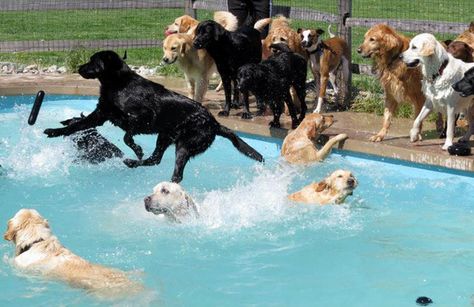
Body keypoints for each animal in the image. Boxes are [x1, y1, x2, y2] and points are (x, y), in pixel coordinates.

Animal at [43, 50, 264, 183]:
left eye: (92, 61)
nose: (79, 68)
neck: (119, 84)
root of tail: (215, 123)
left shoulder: (143, 117)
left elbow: (127, 136)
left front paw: (137, 149)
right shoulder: (100, 114)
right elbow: (75, 126)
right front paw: (54, 131)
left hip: (184, 144)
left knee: (176, 173)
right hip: (165, 137)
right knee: (156, 159)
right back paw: (133, 164)